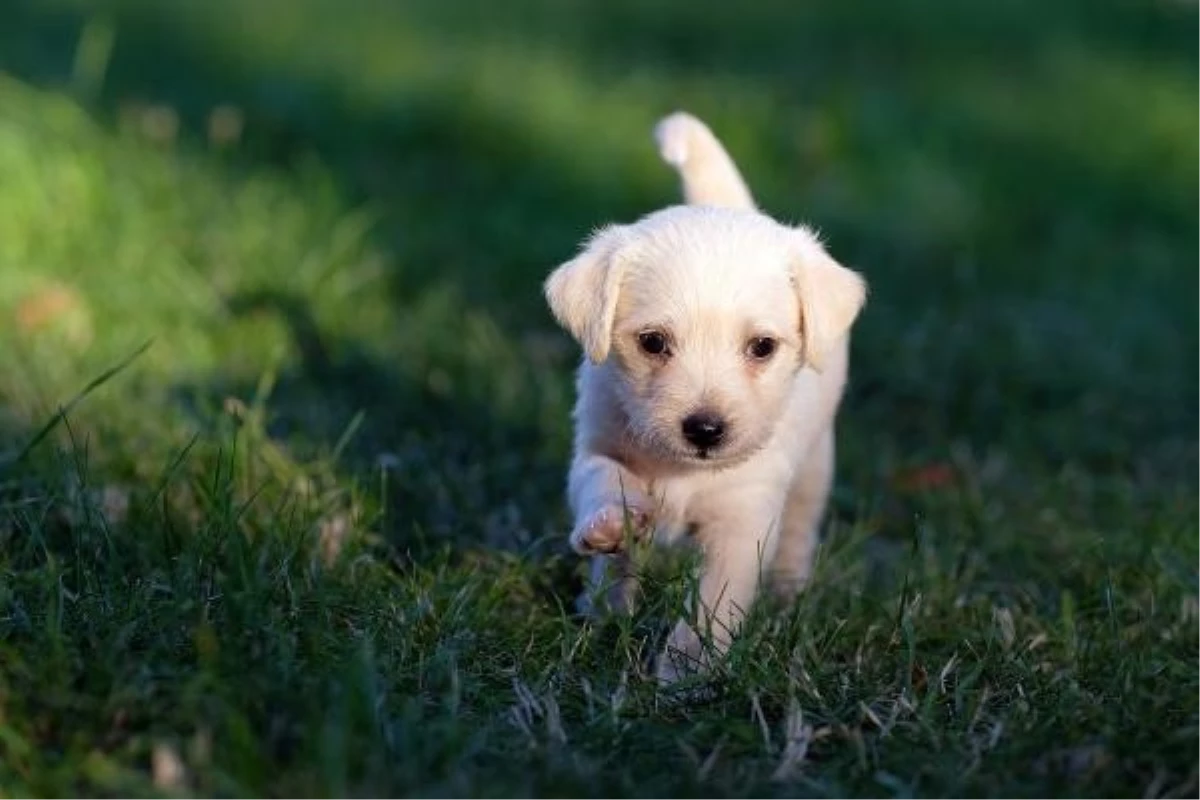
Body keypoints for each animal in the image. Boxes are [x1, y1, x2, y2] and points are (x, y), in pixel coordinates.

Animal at [542, 110, 864, 690]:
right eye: (652, 342)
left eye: (762, 347)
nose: (706, 430)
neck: (681, 472)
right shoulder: (597, 445)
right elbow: (603, 482)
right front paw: (610, 528)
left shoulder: (743, 521)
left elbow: (713, 603)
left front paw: (685, 672)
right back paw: (601, 609)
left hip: (815, 467)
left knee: (800, 528)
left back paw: (788, 593)